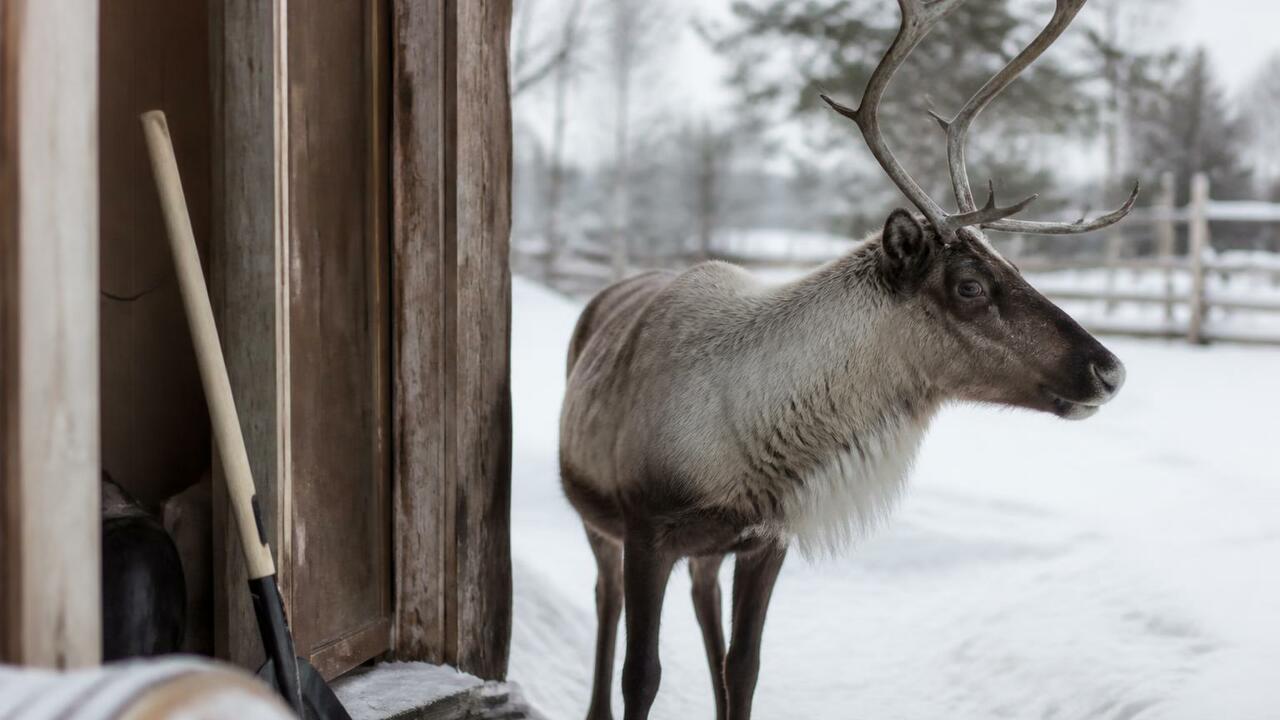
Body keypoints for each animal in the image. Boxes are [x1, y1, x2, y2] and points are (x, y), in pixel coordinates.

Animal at [558, 1, 1136, 718]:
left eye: (1017, 267)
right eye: (970, 286)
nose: (1109, 369)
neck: (731, 456)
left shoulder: (765, 538)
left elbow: (743, 667)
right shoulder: (644, 527)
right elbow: (641, 675)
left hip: (705, 551)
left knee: (704, 605)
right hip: (594, 515)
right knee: (605, 598)